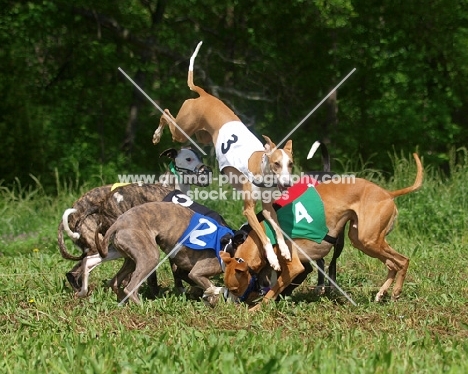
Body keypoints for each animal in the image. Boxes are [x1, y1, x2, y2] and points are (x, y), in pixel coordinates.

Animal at [153, 42, 292, 272]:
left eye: (291, 164)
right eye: (276, 164)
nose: (288, 183)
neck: (261, 168)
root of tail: (204, 95)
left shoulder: (268, 208)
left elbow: (278, 231)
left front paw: (285, 251)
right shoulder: (249, 211)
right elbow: (263, 236)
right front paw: (272, 258)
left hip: (200, 135)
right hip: (182, 129)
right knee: (165, 113)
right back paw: (156, 135)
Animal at [221, 152, 422, 310]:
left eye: (234, 289)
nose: (228, 306)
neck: (263, 238)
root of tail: (388, 194)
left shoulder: (296, 268)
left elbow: (274, 290)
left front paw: (256, 309)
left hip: (368, 240)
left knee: (403, 261)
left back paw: (395, 292)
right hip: (362, 240)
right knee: (392, 264)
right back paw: (381, 293)